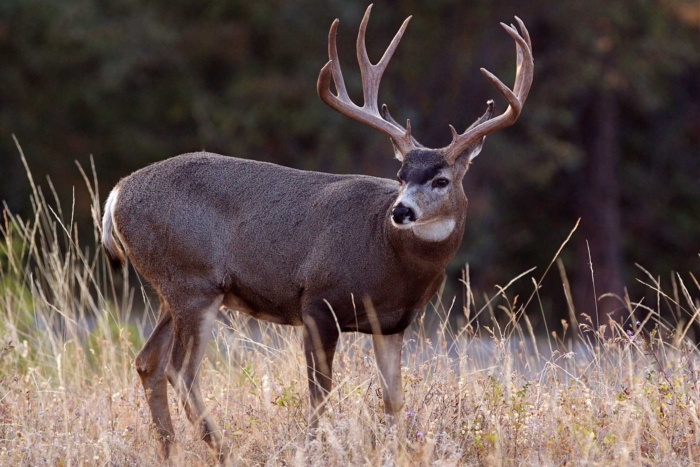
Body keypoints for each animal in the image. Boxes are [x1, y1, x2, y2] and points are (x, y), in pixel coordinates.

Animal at [101, 5, 533, 464]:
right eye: (400, 175)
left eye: (441, 180)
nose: (400, 211)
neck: (386, 253)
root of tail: (116, 194)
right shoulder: (318, 302)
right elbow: (319, 394)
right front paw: (311, 449)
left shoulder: (393, 324)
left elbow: (393, 400)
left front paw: (398, 449)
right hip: (192, 282)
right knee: (180, 370)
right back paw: (224, 450)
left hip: (173, 289)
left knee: (147, 362)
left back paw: (170, 451)